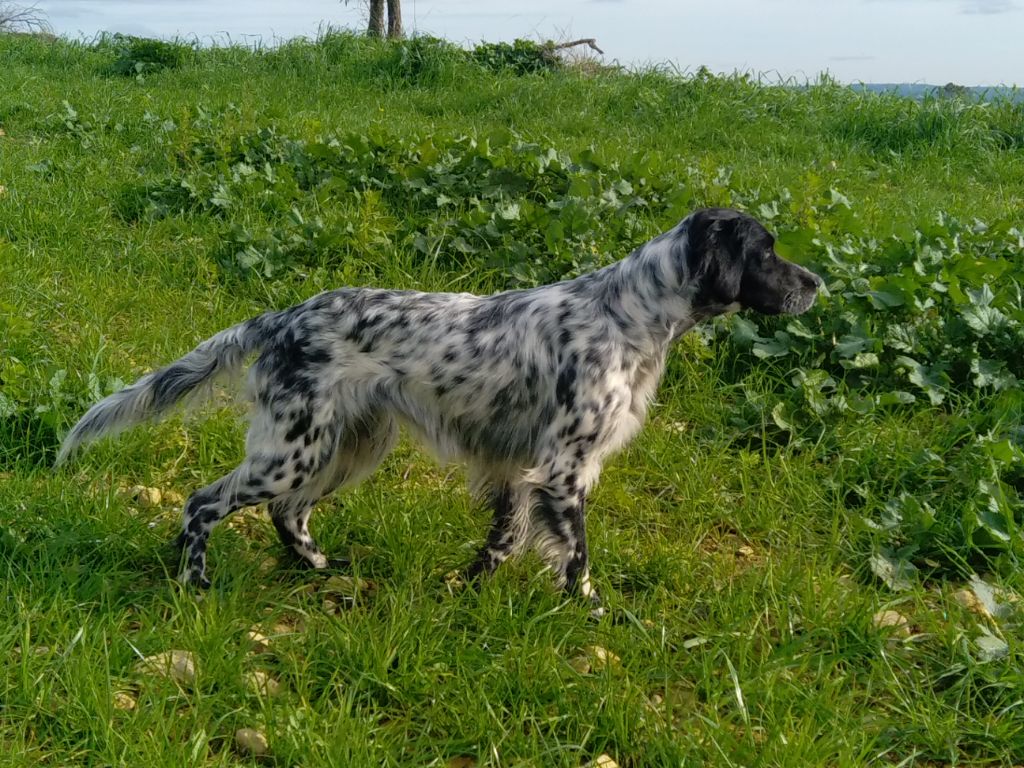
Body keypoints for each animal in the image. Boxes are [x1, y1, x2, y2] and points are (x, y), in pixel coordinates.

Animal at [58, 207, 823, 618]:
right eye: (765, 251)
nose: (817, 283)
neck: (627, 315)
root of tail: (279, 317)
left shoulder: (516, 469)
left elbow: (502, 542)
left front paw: (469, 590)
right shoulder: (565, 470)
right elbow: (576, 556)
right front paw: (593, 613)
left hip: (347, 445)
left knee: (288, 514)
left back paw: (320, 567)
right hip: (291, 450)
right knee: (203, 504)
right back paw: (196, 583)